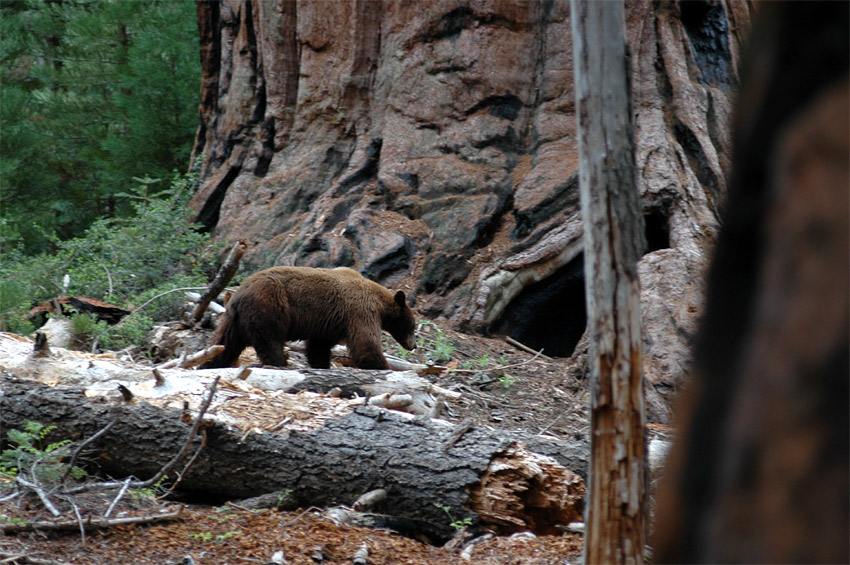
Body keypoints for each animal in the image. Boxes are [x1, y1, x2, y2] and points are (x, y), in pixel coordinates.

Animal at [196, 266, 414, 370]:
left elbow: (319, 346)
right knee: (270, 341)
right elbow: (366, 343)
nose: (413, 346)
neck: (380, 302)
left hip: (233, 320)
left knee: (224, 344)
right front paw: (384, 366)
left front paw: (322, 364)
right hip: (268, 306)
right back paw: (278, 363)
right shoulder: (360, 311)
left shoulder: (329, 323)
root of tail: (238, 295)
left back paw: (206, 363)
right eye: (412, 327)